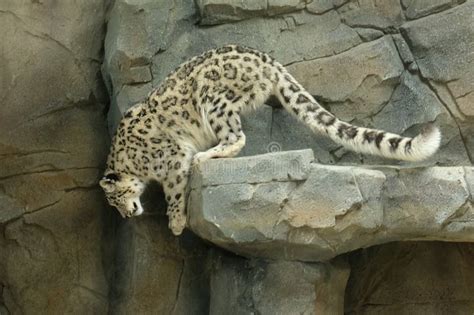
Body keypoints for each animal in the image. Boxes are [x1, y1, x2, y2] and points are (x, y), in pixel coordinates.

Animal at [100, 45, 440, 236]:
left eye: (115, 200)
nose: (127, 215)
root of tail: (268, 60)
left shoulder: (171, 159)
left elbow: (173, 190)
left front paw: (175, 223)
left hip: (213, 99)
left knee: (236, 135)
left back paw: (208, 154)